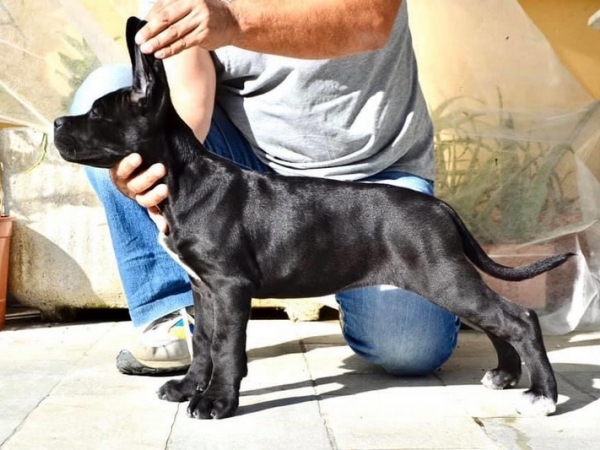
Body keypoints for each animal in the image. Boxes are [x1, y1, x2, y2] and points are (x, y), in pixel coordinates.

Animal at [54, 16, 576, 418]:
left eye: (98, 113)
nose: (58, 123)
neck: (186, 178)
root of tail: (439, 205)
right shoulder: (204, 288)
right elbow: (203, 344)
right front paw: (187, 389)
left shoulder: (229, 287)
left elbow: (225, 348)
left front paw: (218, 402)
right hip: (448, 280)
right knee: (496, 320)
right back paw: (505, 376)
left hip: (442, 277)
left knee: (518, 316)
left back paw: (543, 396)